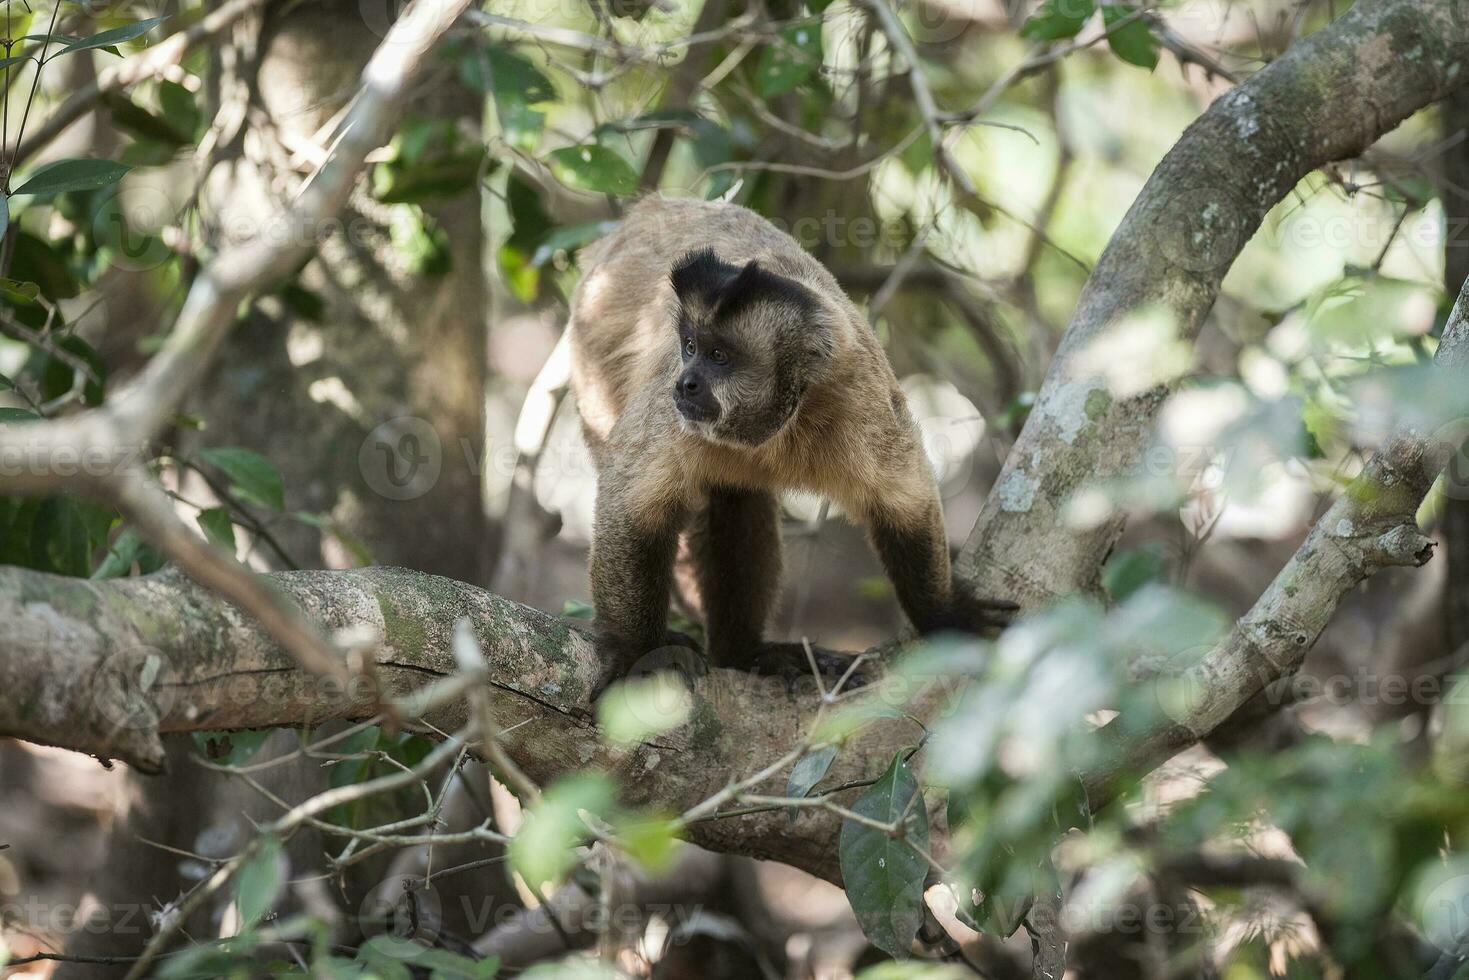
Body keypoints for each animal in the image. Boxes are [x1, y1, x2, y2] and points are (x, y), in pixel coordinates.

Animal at [567, 195, 1016, 693]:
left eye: (718, 357)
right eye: (688, 347)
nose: (685, 383)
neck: (784, 421)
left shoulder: (860, 394)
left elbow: (905, 500)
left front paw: (941, 613)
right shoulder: (672, 415)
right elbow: (631, 508)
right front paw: (634, 652)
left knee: (737, 499)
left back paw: (742, 655)